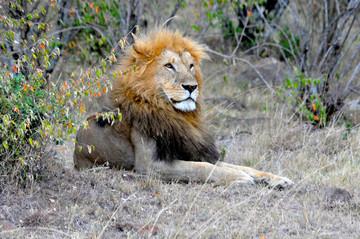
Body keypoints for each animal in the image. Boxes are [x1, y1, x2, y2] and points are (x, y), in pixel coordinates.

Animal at [74, 28, 294, 188]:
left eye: (191, 66)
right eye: (169, 66)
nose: (191, 87)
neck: (176, 115)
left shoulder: (190, 151)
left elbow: (241, 165)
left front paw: (276, 178)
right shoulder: (149, 165)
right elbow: (203, 168)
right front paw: (239, 177)